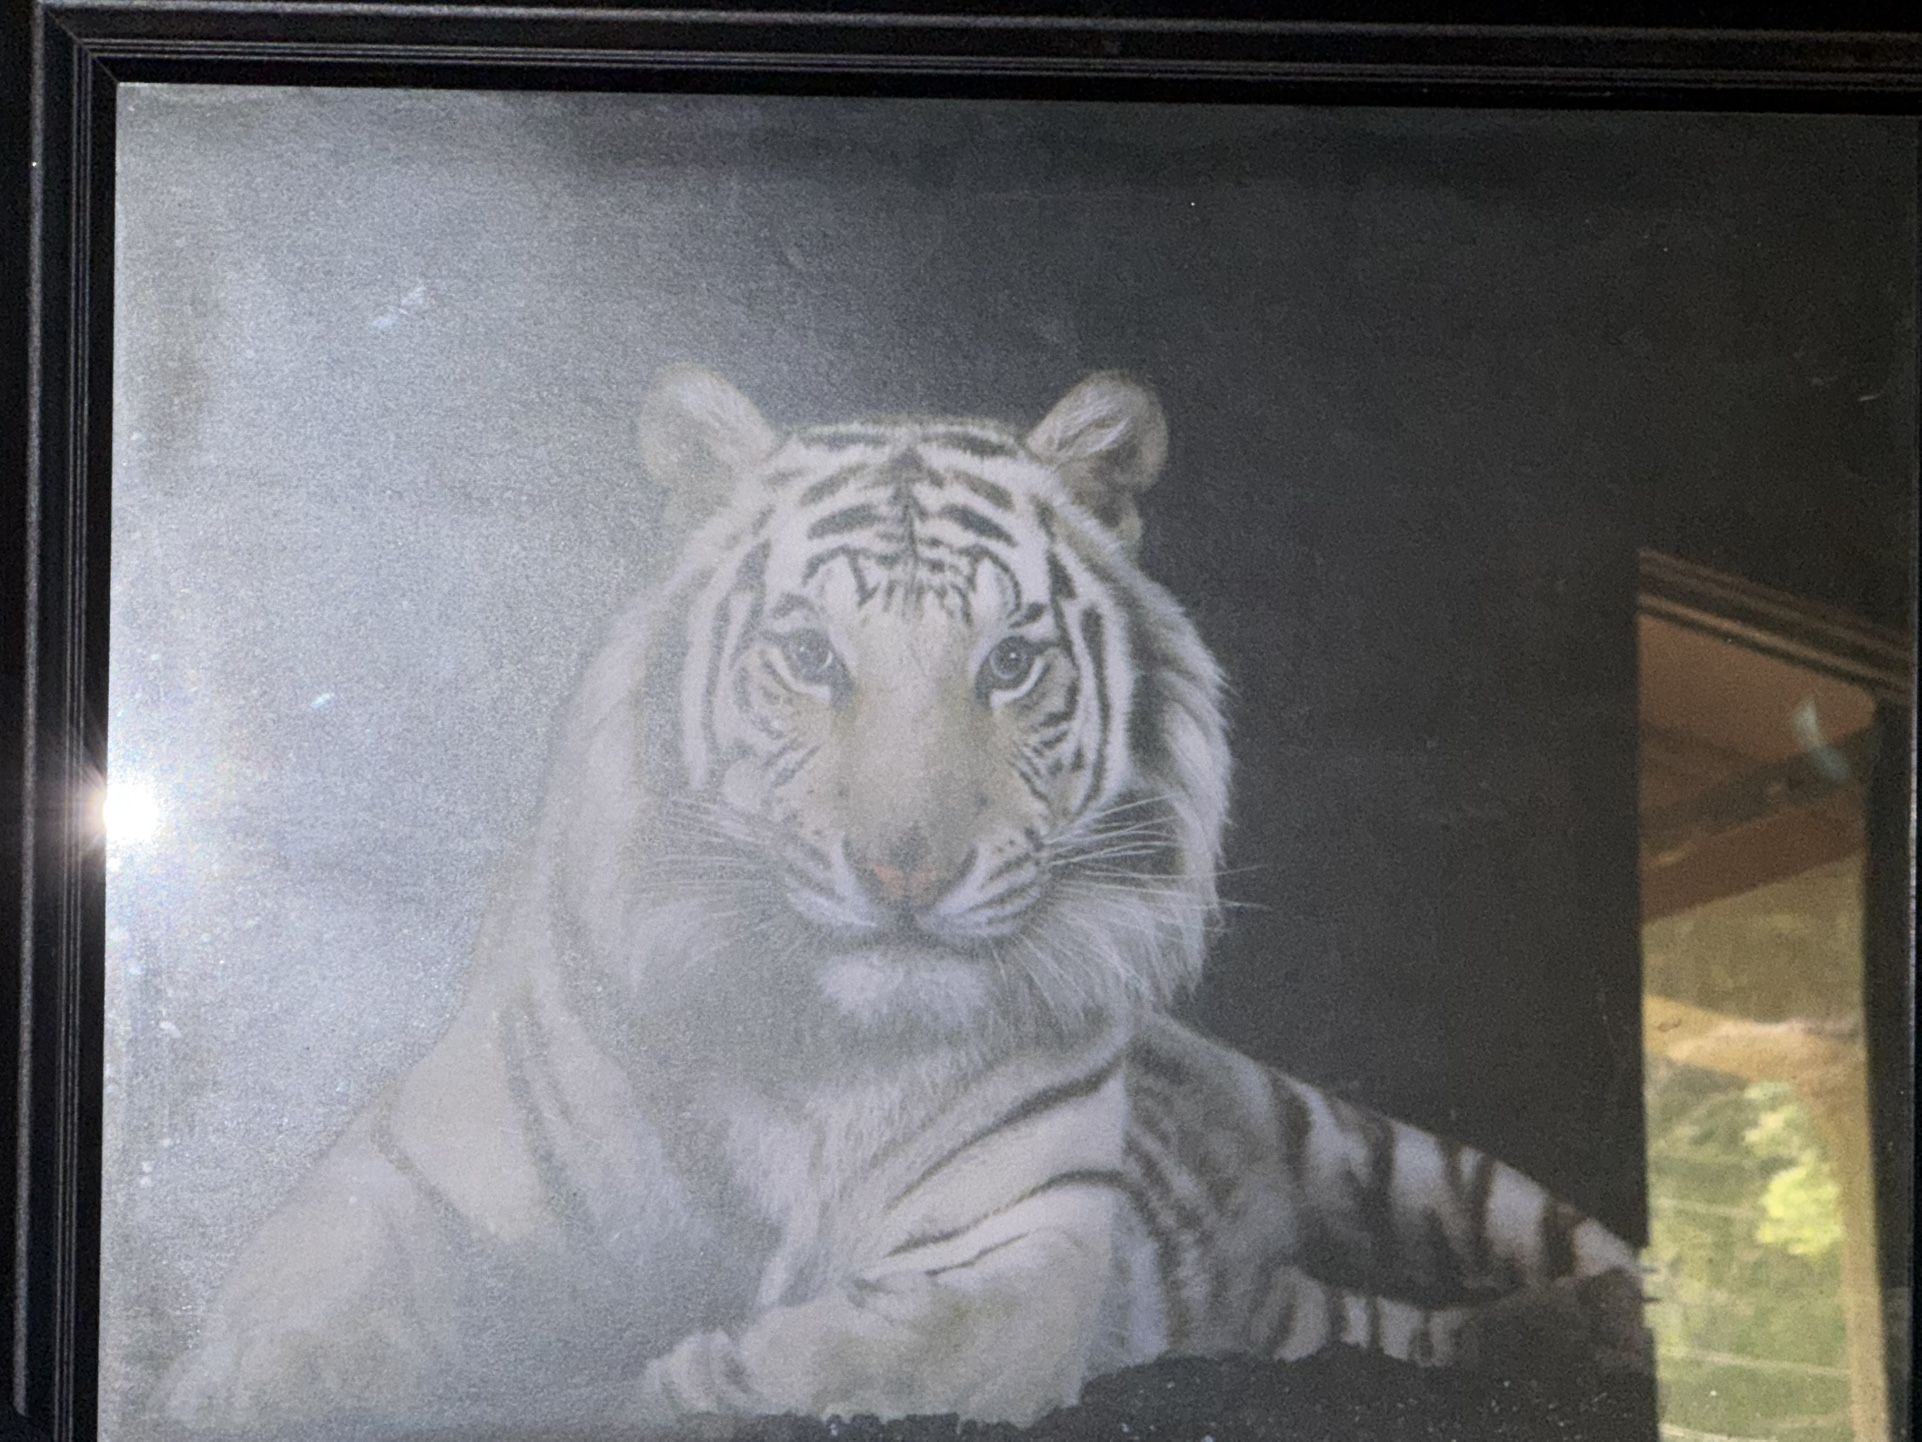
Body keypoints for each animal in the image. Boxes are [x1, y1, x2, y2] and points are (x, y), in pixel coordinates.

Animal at [156, 367, 1649, 1439]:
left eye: (1008, 664)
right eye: (811, 656)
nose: (906, 866)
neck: (831, 1048)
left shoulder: (1026, 1246)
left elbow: (877, 1344)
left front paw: (685, 1375)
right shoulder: (413, 1163)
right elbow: (298, 1292)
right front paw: (241, 1382)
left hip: (1385, 1150)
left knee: (1597, 1254)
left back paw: (1619, 1328)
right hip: (1306, 1306)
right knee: (1397, 1336)